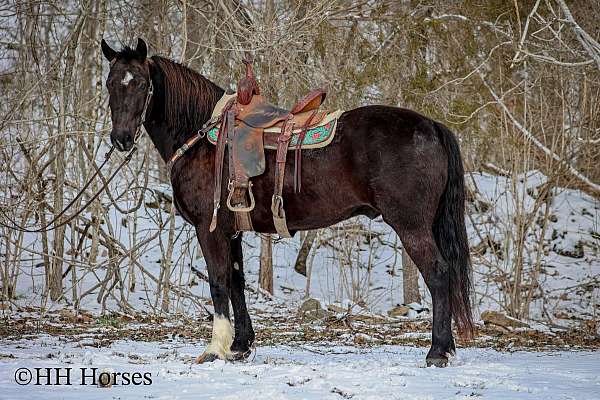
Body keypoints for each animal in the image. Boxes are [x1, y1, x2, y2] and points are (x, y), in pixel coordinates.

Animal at [101, 39, 472, 368]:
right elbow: (236, 283)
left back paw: (438, 351)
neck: (201, 136)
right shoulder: (232, 231)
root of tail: (431, 125)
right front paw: (241, 346)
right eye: (110, 83)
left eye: (141, 83)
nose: (121, 139)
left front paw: (215, 349)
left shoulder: (210, 229)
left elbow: (218, 282)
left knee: (439, 274)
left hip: (411, 225)